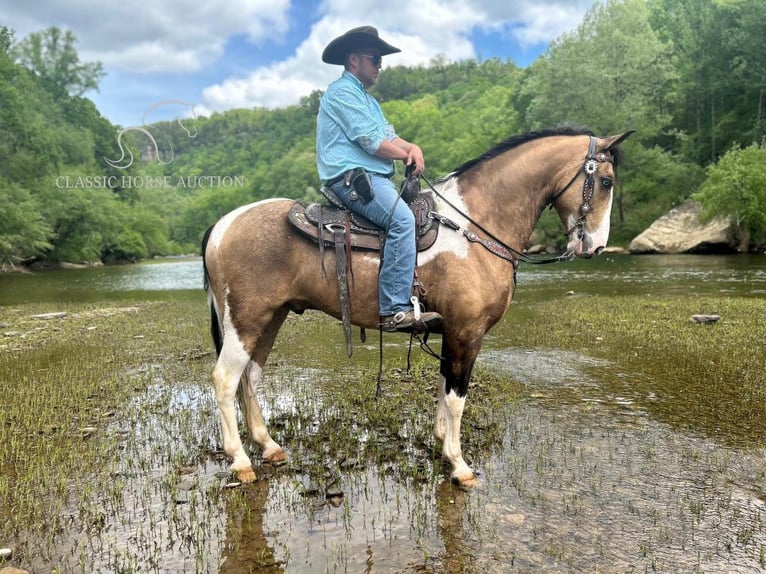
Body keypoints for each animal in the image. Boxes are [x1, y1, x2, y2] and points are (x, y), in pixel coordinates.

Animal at [201, 127, 632, 490]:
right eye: (606, 181)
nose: (595, 246)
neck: (474, 225)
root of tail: (221, 224)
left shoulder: (452, 331)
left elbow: (444, 388)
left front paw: (440, 443)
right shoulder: (466, 331)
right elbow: (457, 397)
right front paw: (459, 464)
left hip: (270, 318)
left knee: (250, 377)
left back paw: (268, 446)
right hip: (245, 320)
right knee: (225, 379)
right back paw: (241, 461)